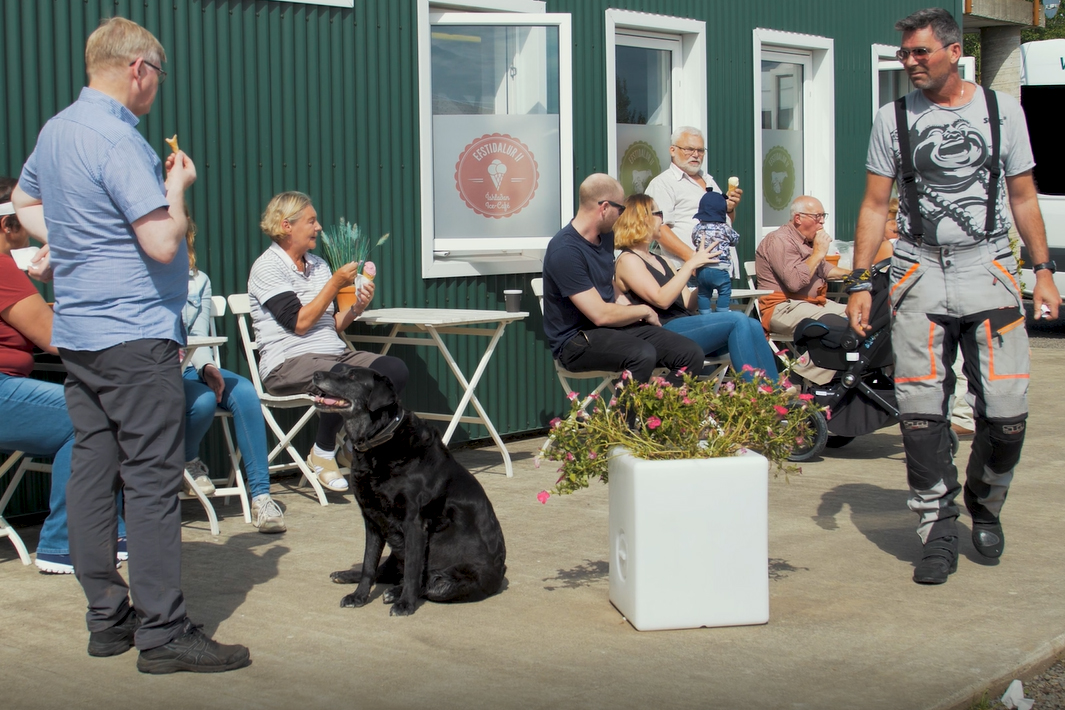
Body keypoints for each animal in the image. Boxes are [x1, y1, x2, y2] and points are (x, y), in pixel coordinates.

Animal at [311, 366, 506, 616]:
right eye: (339, 369)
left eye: (352, 376)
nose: (316, 374)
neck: (379, 440)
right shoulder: (372, 519)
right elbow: (368, 565)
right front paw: (359, 596)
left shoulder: (414, 521)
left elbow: (413, 570)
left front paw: (405, 604)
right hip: (396, 547)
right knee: (385, 571)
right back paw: (348, 575)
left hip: (448, 574)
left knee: (429, 584)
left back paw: (397, 592)